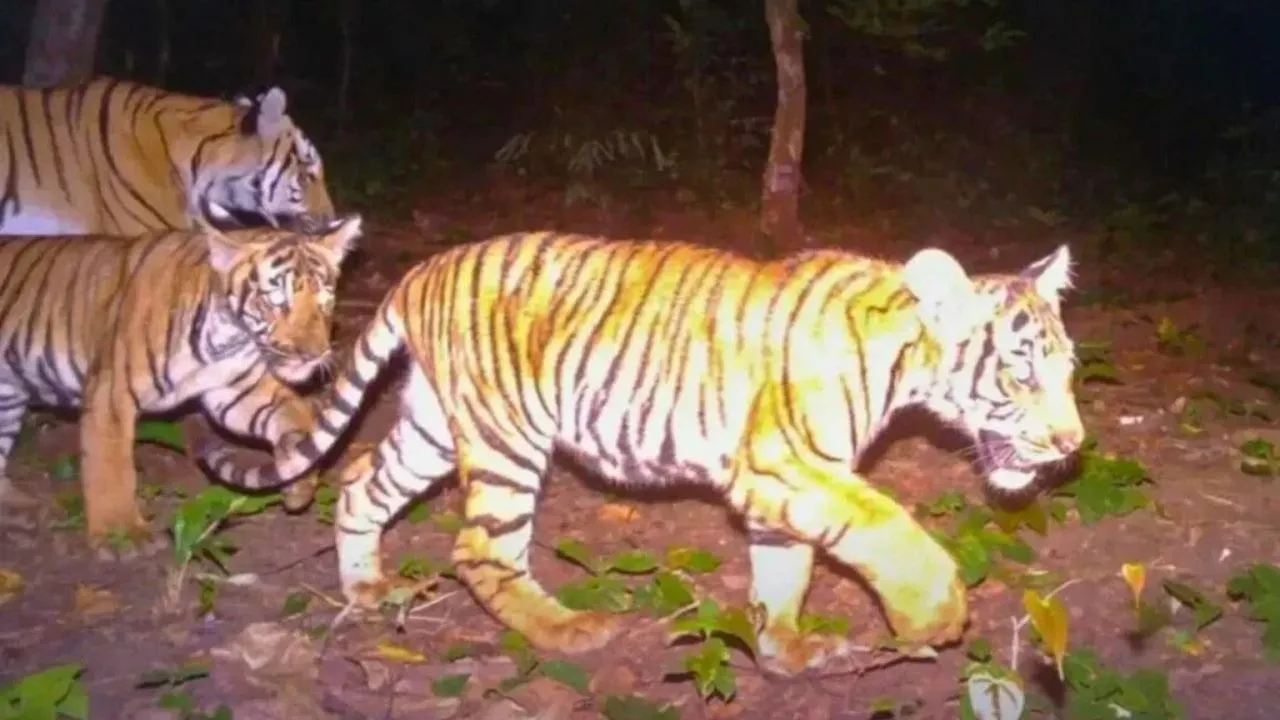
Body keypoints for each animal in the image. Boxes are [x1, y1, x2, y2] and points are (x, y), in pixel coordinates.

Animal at [0, 200, 361, 555]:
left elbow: (295, 416)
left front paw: (298, 480)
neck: (228, 336)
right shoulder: (111, 393)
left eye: (325, 301)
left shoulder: (235, 390)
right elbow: (111, 466)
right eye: (275, 303)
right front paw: (121, 534)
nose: (313, 354)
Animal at [196, 232, 1085, 675]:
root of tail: (422, 268)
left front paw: (784, 651)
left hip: (433, 427)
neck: (902, 361)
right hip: (506, 440)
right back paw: (567, 633)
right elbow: (887, 527)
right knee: (480, 548)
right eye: (1022, 369)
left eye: (1070, 369)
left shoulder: (786, 484)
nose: (1073, 443)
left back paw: (366, 590)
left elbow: (784, 569)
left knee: (358, 482)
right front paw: (931, 616)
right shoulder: (788, 463)